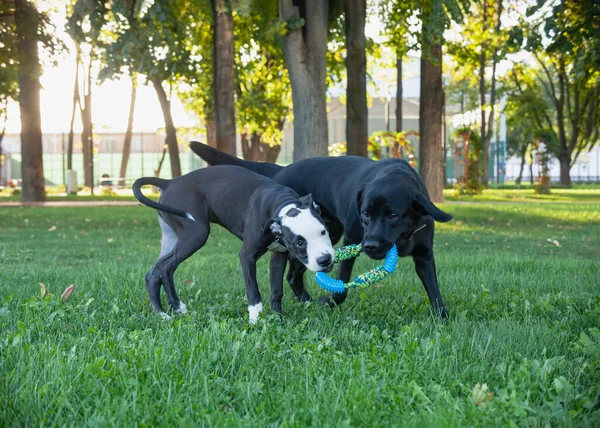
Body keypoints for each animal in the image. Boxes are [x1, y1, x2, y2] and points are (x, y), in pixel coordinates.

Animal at [132, 166, 338, 322]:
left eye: (324, 231)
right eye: (300, 243)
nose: (325, 260)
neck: (281, 206)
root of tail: (170, 182)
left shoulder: (278, 255)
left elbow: (276, 290)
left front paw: (278, 318)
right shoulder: (247, 256)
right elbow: (253, 292)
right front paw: (255, 319)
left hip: (173, 237)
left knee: (154, 272)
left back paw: (162, 312)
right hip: (196, 234)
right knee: (165, 268)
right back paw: (175, 307)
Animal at [190, 143, 452, 318]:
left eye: (393, 215)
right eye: (365, 214)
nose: (370, 246)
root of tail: (280, 170)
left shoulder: (424, 255)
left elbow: (434, 289)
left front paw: (443, 319)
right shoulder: (352, 239)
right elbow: (342, 287)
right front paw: (330, 301)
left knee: (293, 276)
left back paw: (306, 302)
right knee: (293, 274)